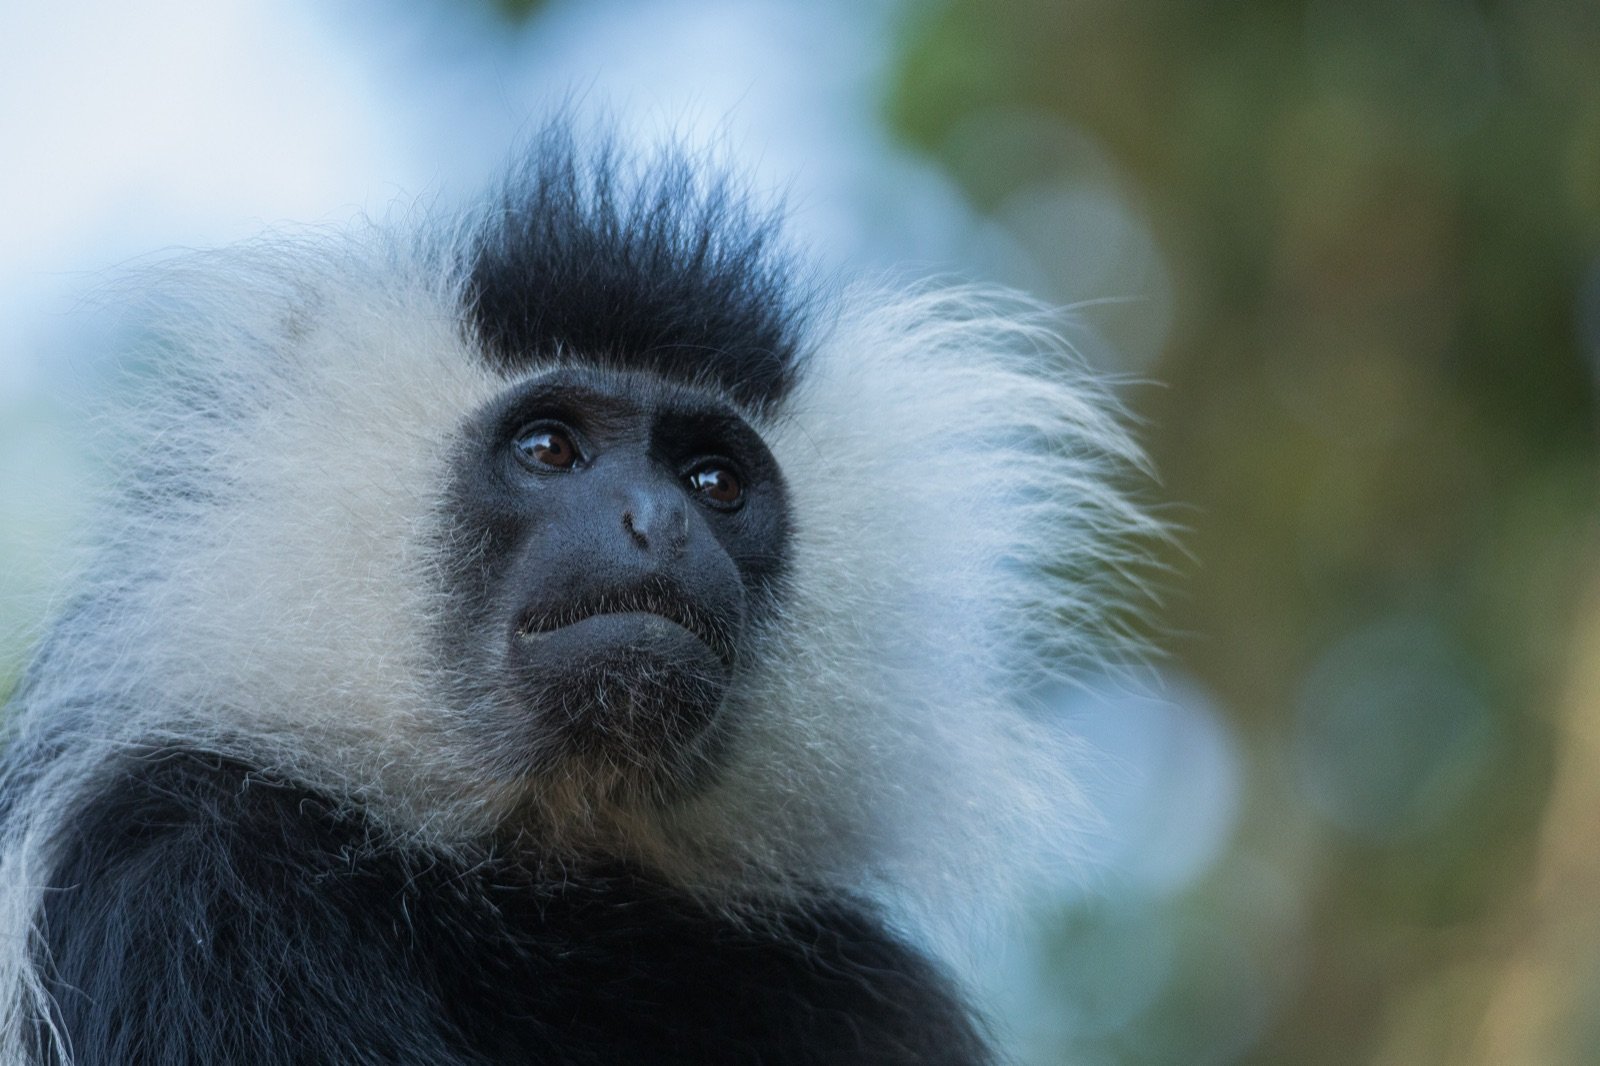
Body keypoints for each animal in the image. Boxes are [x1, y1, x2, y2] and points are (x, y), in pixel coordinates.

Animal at [0, 125, 1156, 1065]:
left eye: (714, 481)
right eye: (548, 448)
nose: (657, 522)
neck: (539, 878)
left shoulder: (858, 986)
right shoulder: (185, 874)